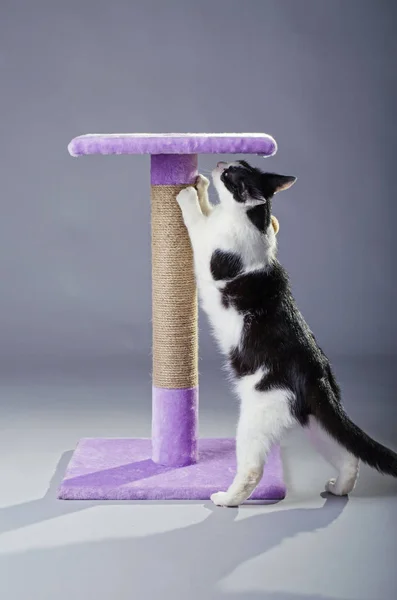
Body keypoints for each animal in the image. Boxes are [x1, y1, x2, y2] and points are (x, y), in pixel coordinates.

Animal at [176, 161, 396, 506]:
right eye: (234, 164)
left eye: (232, 175)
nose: (221, 163)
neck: (252, 222)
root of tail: (316, 372)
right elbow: (208, 208)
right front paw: (199, 186)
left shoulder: (210, 247)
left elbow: (198, 220)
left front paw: (187, 195)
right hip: (316, 422)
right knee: (350, 457)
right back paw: (338, 488)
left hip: (258, 415)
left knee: (252, 470)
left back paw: (226, 498)